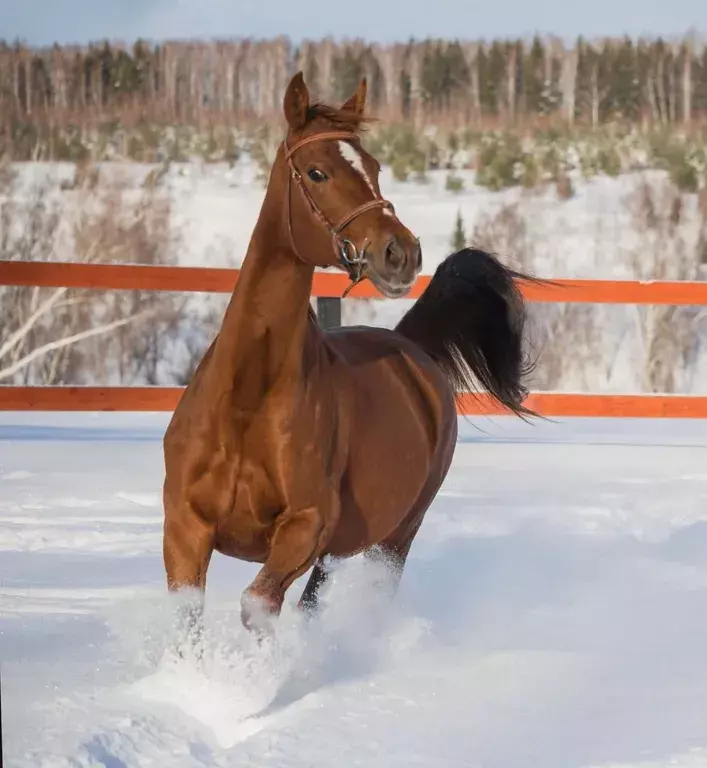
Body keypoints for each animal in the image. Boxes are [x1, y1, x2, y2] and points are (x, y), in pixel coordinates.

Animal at [162, 72, 536, 644]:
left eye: (375, 167)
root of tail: (411, 347)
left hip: (396, 537)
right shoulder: (184, 527)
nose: (401, 253)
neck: (247, 398)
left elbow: (256, 606)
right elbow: (189, 623)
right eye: (317, 172)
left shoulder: (306, 524)